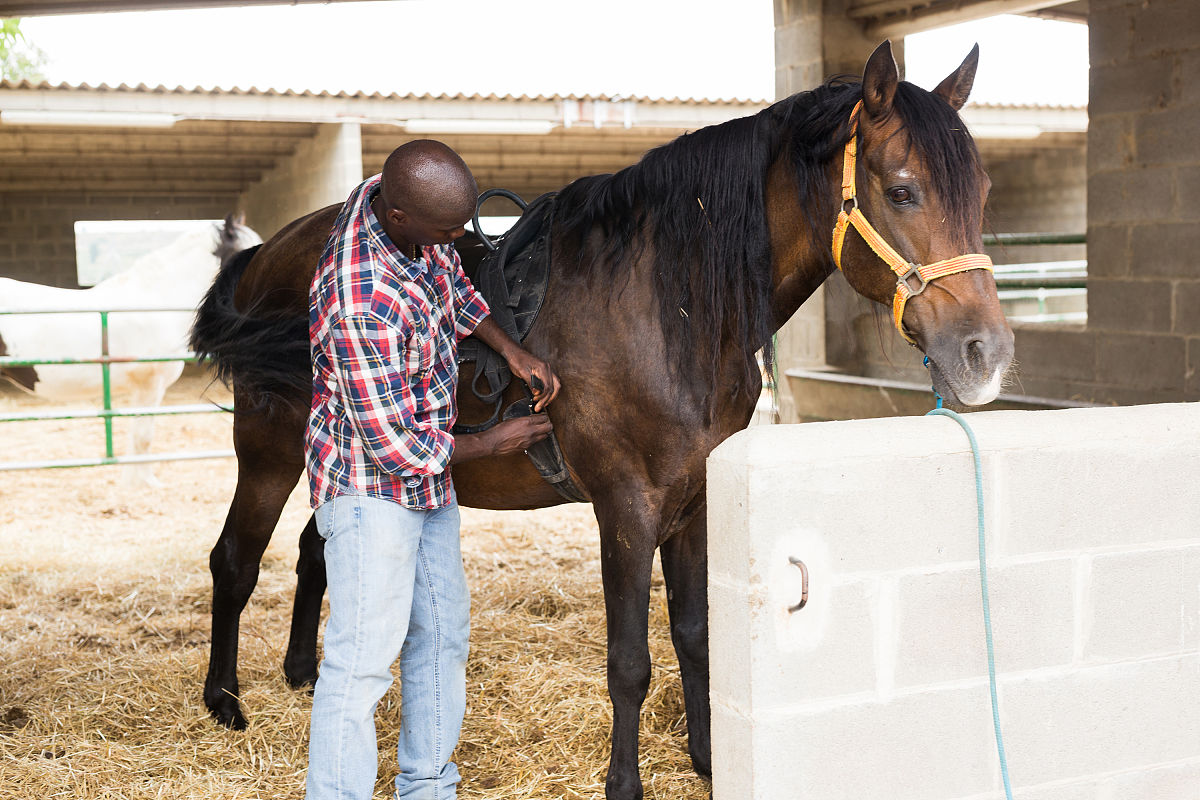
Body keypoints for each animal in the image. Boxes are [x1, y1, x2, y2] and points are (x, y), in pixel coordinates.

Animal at [0, 215, 262, 485]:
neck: (157, 301)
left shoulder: (143, 389)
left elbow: (136, 433)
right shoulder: (150, 385)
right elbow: (143, 436)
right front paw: (147, 482)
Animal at [190, 42, 1012, 800]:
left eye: (982, 193)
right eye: (901, 191)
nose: (987, 353)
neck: (666, 306)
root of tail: (266, 255)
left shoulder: (693, 501)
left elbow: (693, 635)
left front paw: (707, 760)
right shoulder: (627, 506)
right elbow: (630, 663)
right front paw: (625, 783)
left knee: (316, 555)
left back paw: (300, 672)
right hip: (267, 456)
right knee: (236, 561)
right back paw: (224, 702)